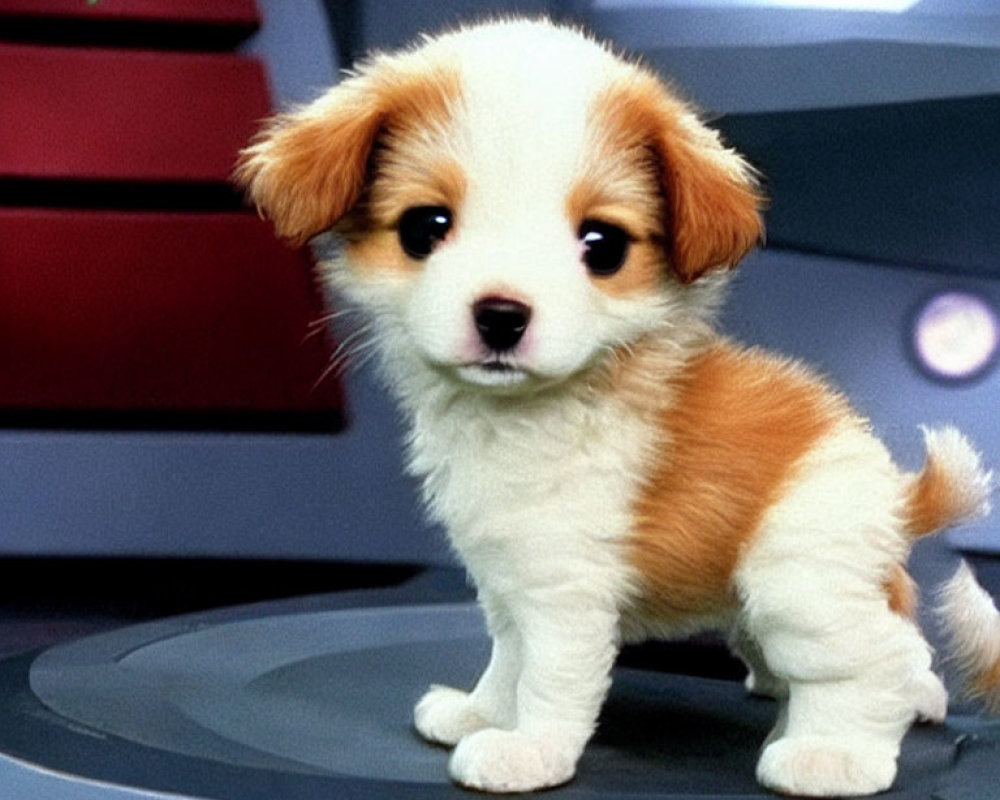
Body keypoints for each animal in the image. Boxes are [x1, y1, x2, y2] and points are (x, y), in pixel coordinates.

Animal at [238, 18, 996, 792]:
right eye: (426, 227)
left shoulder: (566, 594)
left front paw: (527, 749)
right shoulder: (509, 585)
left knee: (873, 660)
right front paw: (482, 713)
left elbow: (547, 678)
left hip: (800, 579)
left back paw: (836, 754)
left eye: (601, 246)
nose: (501, 316)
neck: (523, 414)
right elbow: (508, 660)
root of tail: (896, 490)